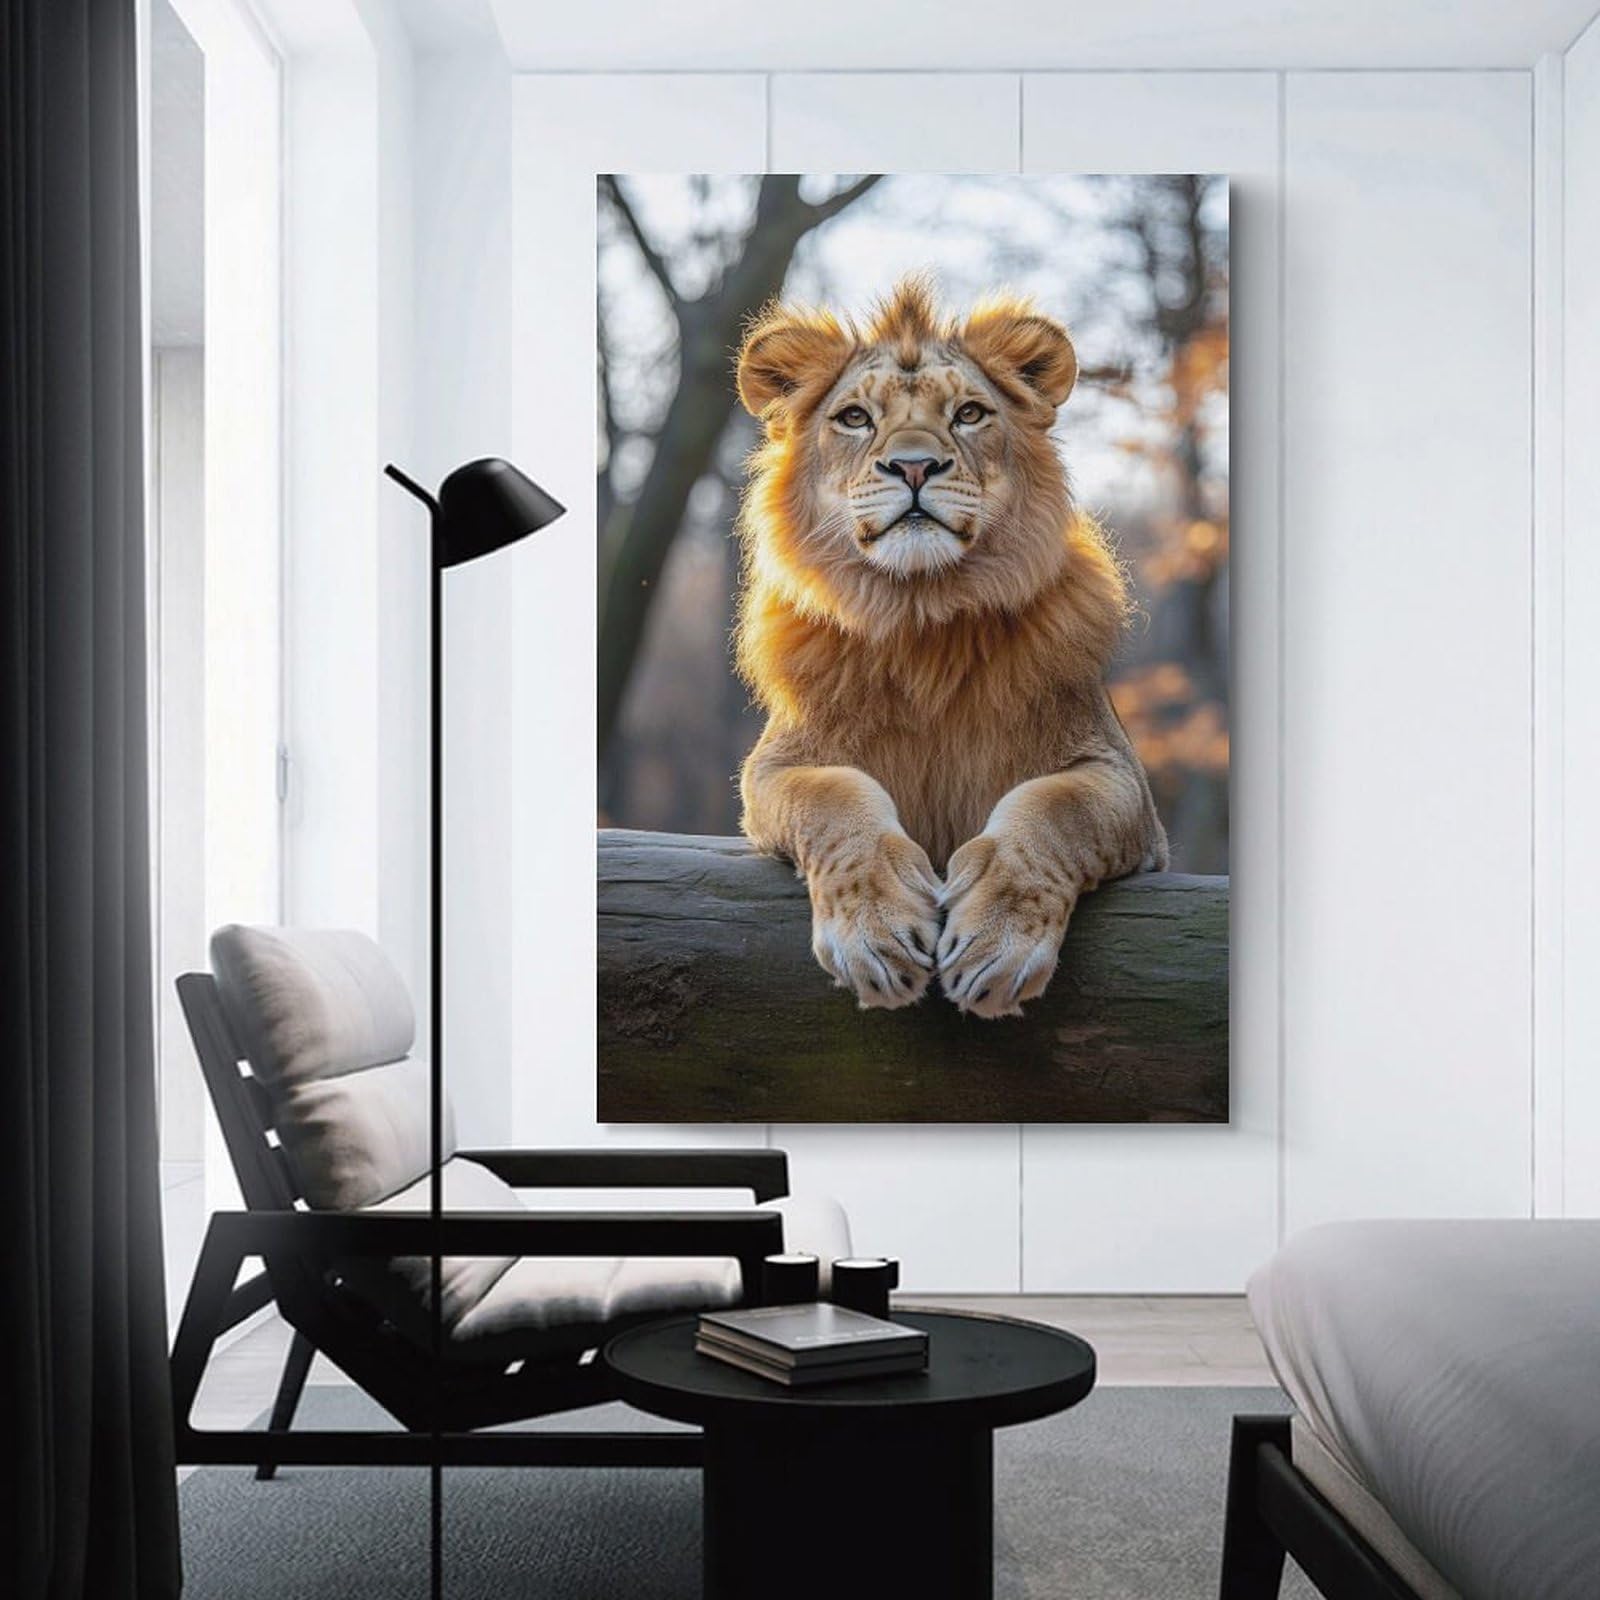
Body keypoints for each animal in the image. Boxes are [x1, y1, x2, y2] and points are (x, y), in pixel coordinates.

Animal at [732, 275, 1168, 1020]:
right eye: (854, 418)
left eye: (968, 414)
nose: (914, 466)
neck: (921, 616)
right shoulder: (772, 770)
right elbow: (834, 796)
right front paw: (876, 936)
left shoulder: (1120, 781)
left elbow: (1053, 810)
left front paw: (997, 945)